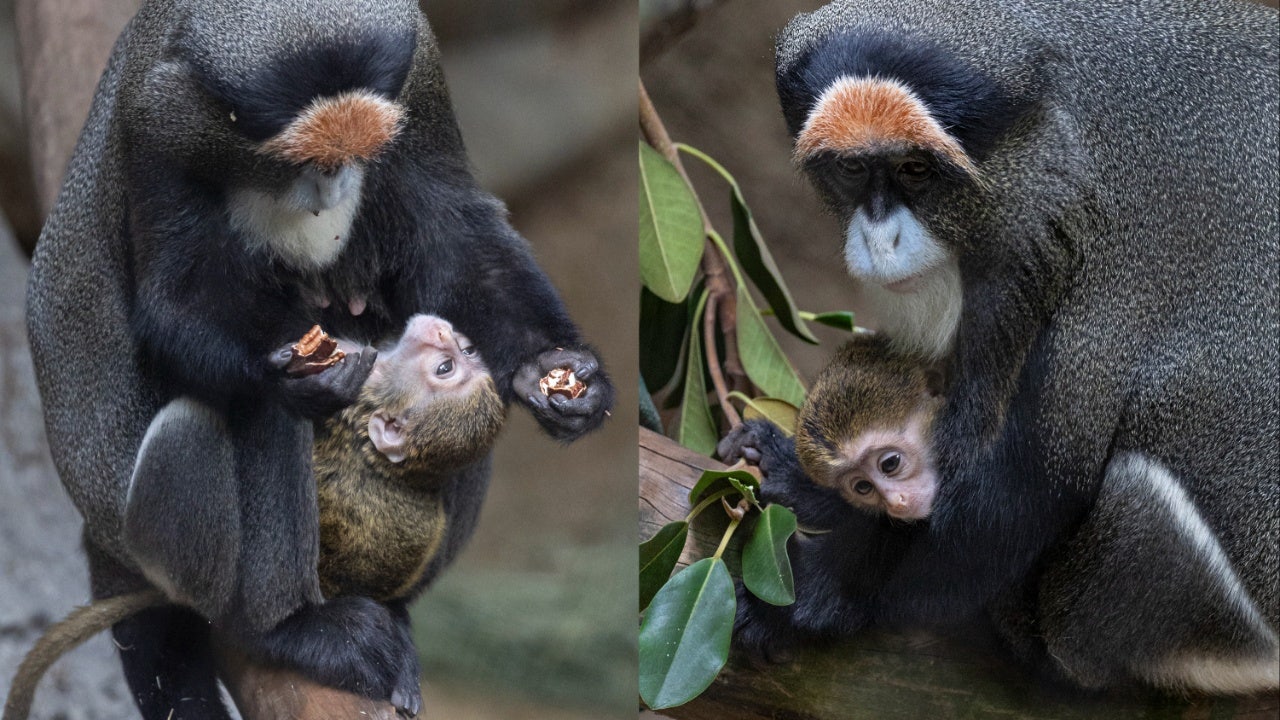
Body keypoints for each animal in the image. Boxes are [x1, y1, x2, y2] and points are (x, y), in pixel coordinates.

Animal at [23, 2, 614, 712]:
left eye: (354, 153)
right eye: (302, 157)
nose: (333, 184)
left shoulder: (418, 74)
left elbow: (455, 230)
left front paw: (554, 374)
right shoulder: (161, 119)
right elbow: (181, 299)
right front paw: (296, 375)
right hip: (153, 540)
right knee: (233, 420)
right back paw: (288, 629)